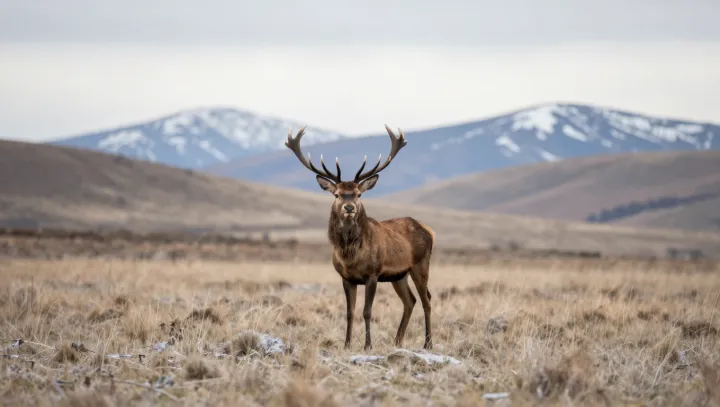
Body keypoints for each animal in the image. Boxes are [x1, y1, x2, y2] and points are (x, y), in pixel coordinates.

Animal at [285, 125, 435, 351]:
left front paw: (367, 345)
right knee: (410, 301)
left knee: (426, 300)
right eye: (337, 194)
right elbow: (350, 313)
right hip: (399, 275)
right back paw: (397, 341)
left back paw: (427, 344)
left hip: (420, 265)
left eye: (358, 194)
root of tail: (429, 230)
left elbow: (367, 312)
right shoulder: (347, 278)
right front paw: (346, 345)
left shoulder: (372, 274)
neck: (350, 256)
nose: (349, 207)